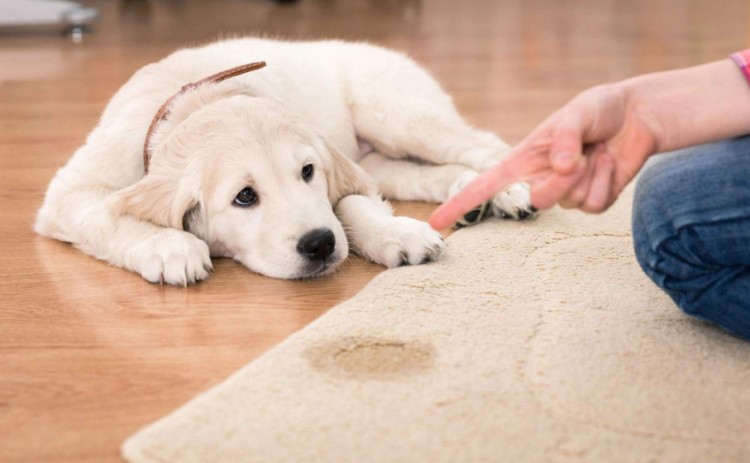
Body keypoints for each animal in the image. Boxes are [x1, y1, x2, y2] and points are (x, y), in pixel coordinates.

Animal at [35, 39, 536, 286]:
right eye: (244, 197)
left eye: (307, 172)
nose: (319, 245)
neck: (197, 99)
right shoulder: (70, 192)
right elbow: (108, 216)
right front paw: (169, 247)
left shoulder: (340, 170)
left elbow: (350, 204)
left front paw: (395, 233)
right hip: (382, 154)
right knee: (421, 172)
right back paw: (468, 195)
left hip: (396, 113)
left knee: (481, 143)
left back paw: (510, 191)